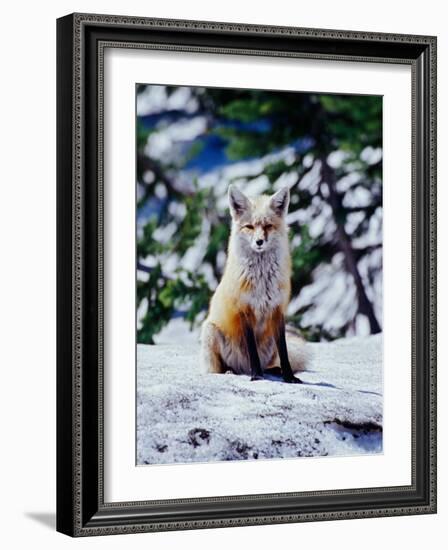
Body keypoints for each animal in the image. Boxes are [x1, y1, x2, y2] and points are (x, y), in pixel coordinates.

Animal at [200, 185, 308, 384]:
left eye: (268, 226)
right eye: (249, 226)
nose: (259, 242)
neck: (262, 280)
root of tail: (242, 368)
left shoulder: (278, 309)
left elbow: (284, 352)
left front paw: (289, 377)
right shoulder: (244, 309)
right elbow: (252, 350)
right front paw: (256, 376)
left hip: (269, 342)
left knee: (270, 363)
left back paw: (273, 370)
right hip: (210, 331)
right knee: (219, 369)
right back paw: (232, 371)